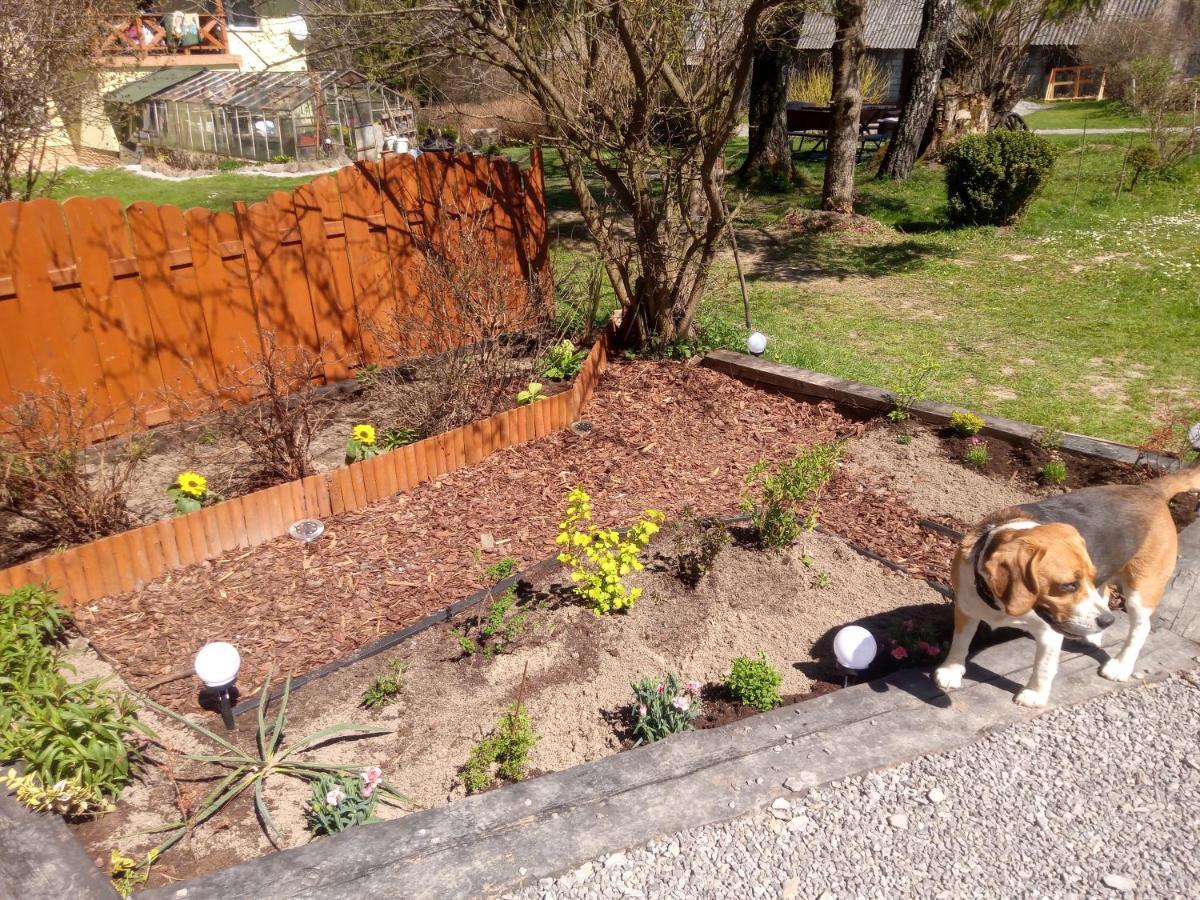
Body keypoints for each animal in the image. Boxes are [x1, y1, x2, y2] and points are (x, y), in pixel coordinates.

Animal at [936, 460, 1200, 710]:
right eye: (1069, 585)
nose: (1108, 621)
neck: (999, 605)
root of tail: (1149, 489)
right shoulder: (966, 608)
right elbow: (960, 641)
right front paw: (951, 670)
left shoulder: (1050, 632)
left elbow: (1043, 666)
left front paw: (1034, 695)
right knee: (1105, 594)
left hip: (1141, 590)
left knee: (1141, 627)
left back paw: (1121, 665)